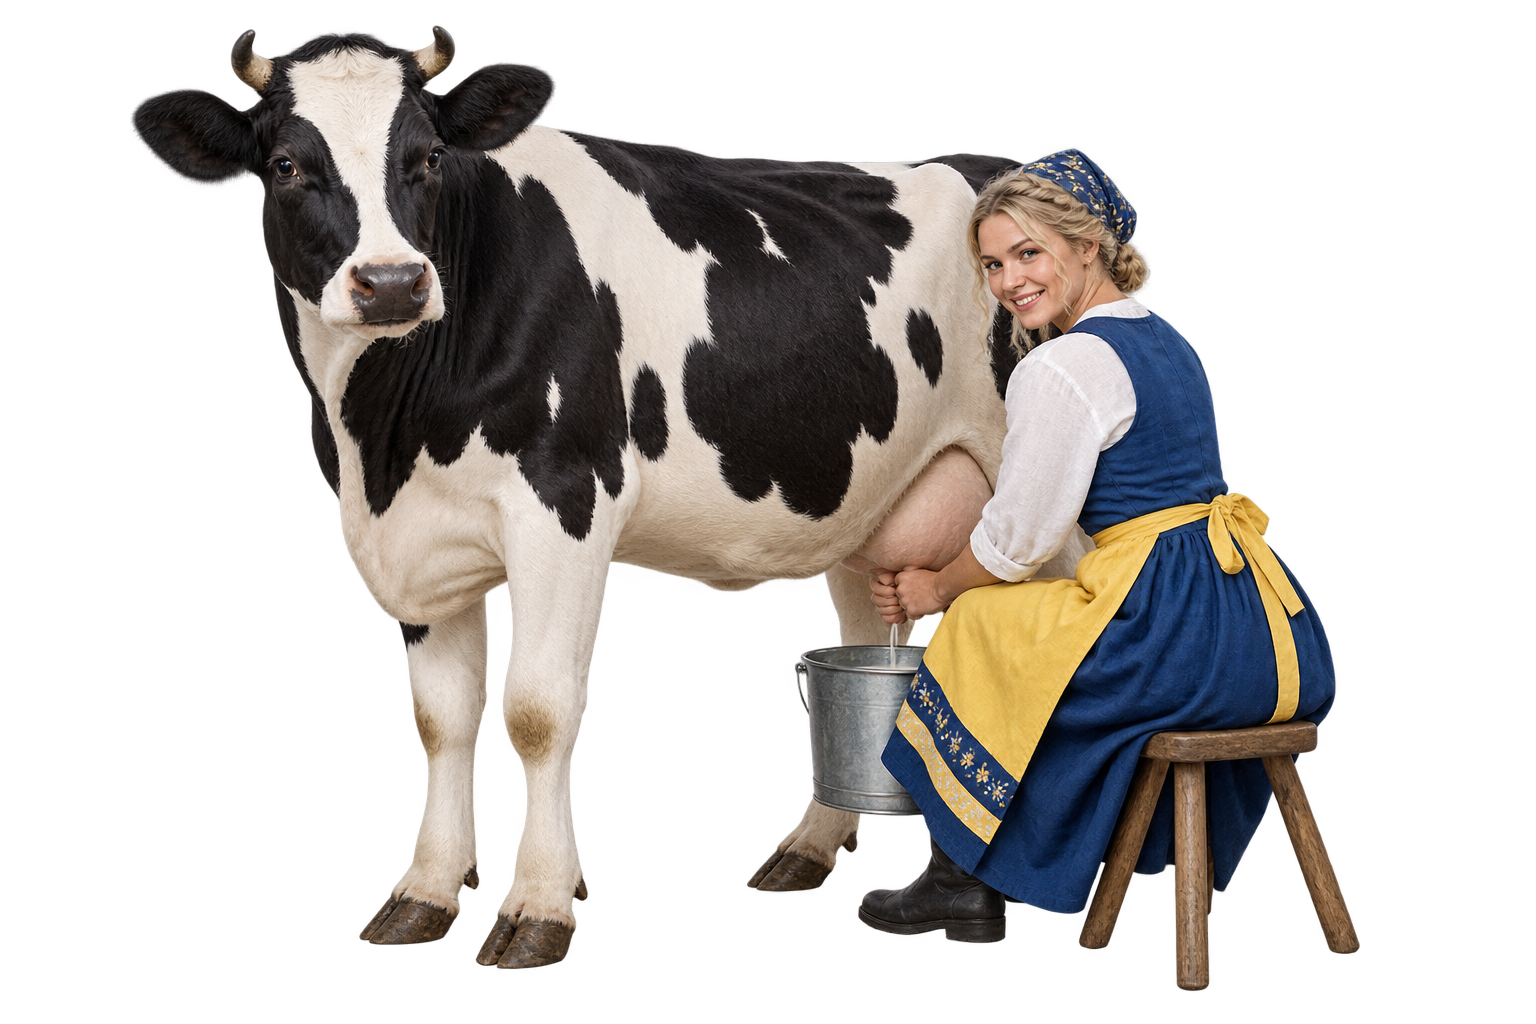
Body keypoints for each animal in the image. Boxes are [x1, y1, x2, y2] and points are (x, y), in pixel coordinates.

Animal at [134, 30, 1090, 969]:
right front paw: (427, 890)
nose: (395, 282)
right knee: (868, 639)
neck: (384, 439)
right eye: (286, 164)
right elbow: (440, 718)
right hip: (870, 499)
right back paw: (810, 847)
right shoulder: (412, 539)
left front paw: (541, 904)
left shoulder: (564, 502)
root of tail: (1004, 164)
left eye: (428, 157)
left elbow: (535, 712)